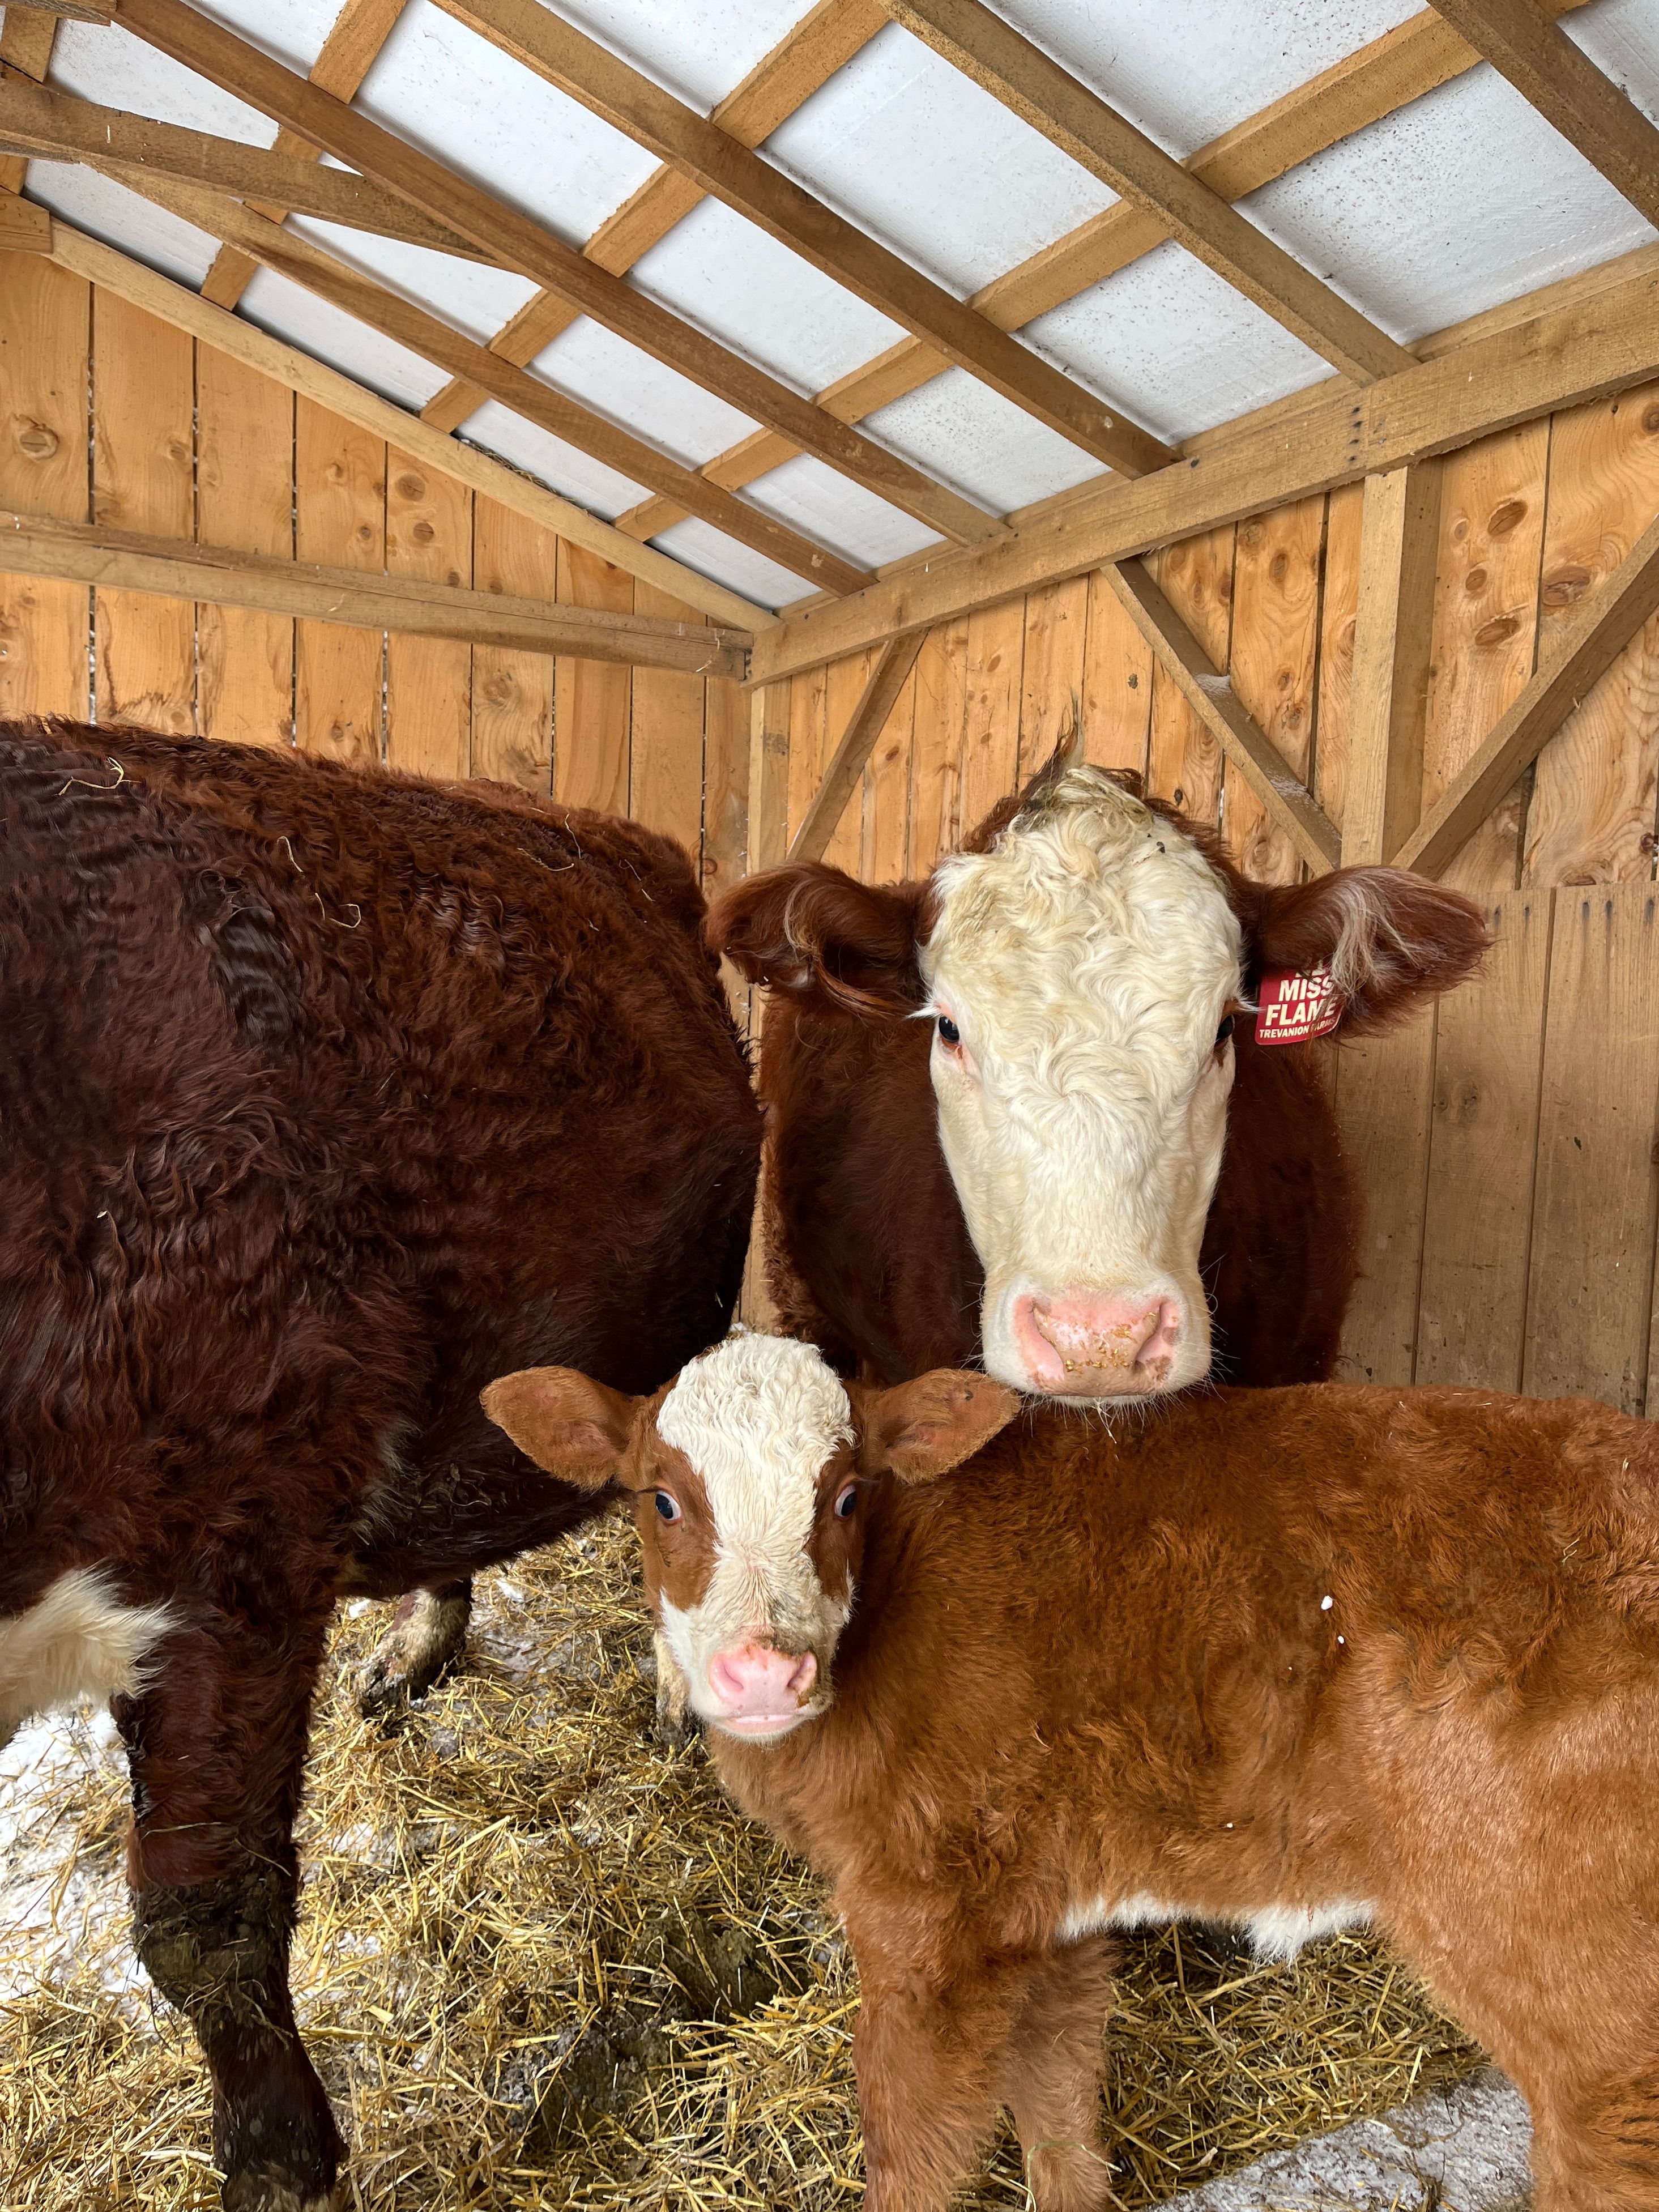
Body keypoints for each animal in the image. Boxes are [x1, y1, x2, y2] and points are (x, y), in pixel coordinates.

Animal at [487, 1331, 1659, 2212]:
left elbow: (912, 2144)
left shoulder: (922, 1913)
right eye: (660, 1499)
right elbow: (1052, 2096)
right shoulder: (1037, 1901)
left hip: (1565, 1971)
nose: (762, 1671)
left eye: (848, 1495)